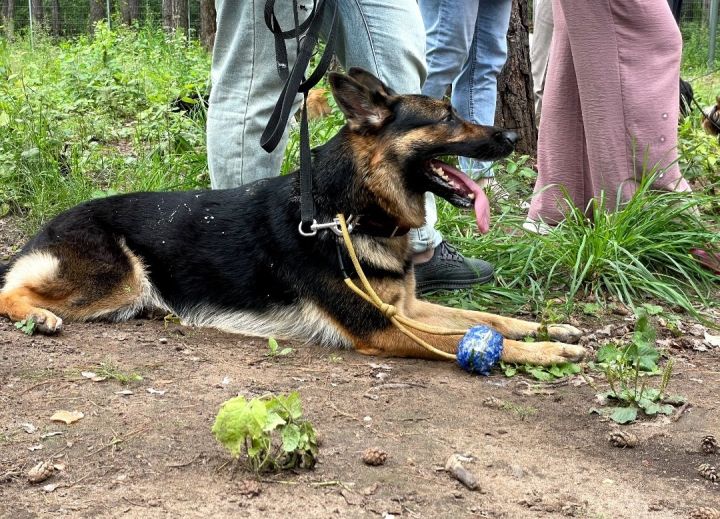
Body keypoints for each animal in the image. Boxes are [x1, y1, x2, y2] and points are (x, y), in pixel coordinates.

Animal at [0, 69, 584, 368]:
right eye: (445, 117)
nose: (513, 136)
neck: (345, 213)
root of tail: (47, 227)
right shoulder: (384, 327)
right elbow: (471, 336)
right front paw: (548, 350)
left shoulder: (408, 308)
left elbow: (488, 319)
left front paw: (553, 328)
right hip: (120, 276)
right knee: (10, 291)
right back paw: (41, 317)